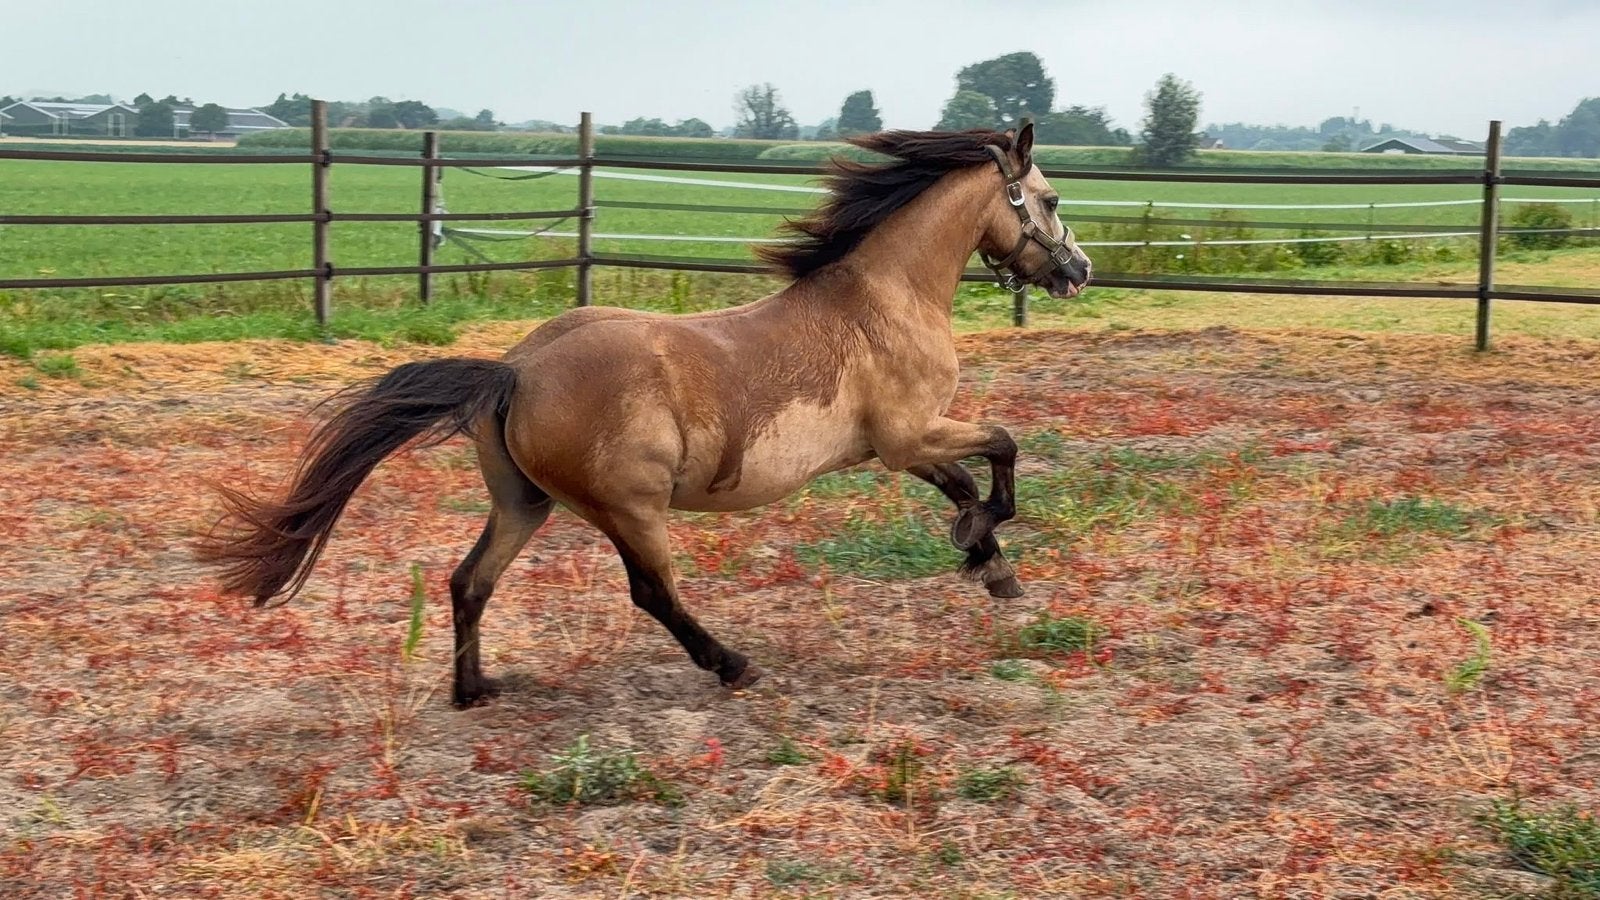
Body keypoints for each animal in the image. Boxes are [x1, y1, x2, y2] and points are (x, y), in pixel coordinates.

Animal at [198, 121, 1092, 708]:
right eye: (1049, 199)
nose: (1078, 270)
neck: (883, 300)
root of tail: (515, 371)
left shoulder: (893, 447)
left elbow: (967, 483)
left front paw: (989, 564)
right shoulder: (907, 436)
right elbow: (1002, 451)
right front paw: (985, 549)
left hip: (524, 504)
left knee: (469, 580)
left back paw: (475, 689)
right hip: (628, 508)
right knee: (652, 594)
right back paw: (734, 665)